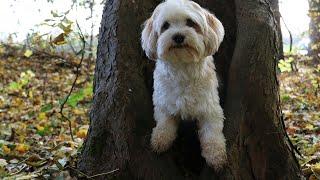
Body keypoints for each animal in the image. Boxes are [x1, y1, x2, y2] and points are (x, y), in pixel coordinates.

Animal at [141, 0, 226, 170]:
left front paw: (216, 155)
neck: (182, 68)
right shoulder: (163, 103)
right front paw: (160, 139)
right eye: (165, 26)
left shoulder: (210, 108)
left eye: (190, 23)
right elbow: (164, 124)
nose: (178, 36)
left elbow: (212, 133)